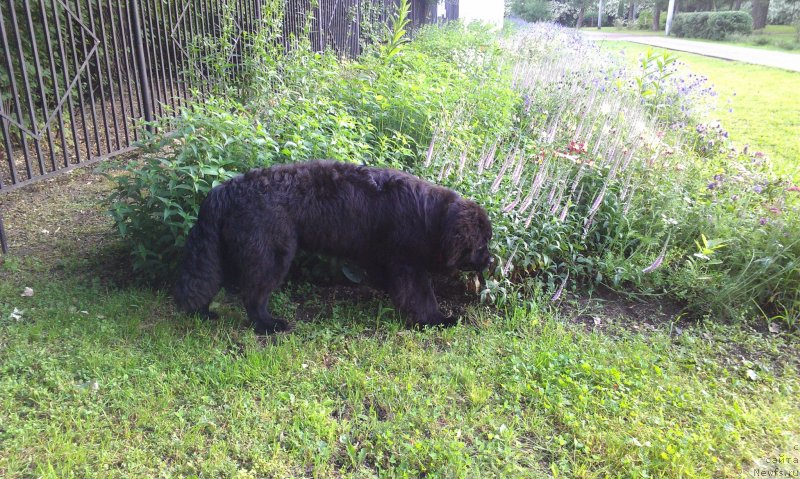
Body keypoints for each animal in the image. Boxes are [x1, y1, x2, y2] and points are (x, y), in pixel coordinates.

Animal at [172, 161, 490, 334]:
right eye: (481, 245)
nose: (490, 261)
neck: (433, 217)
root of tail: (222, 190)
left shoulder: (383, 258)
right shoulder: (409, 264)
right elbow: (423, 296)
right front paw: (439, 320)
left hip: (227, 251)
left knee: (207, 281)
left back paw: (204, 313)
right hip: (271, 255)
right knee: (253, 295)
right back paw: (268, 325)